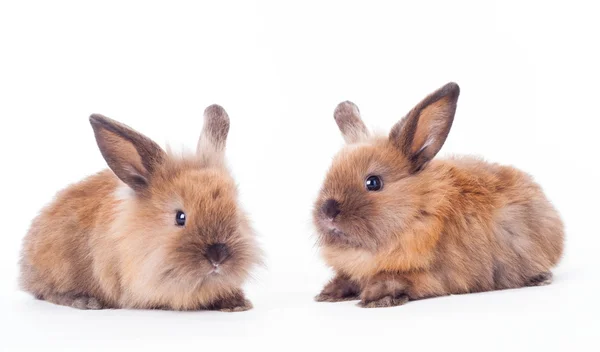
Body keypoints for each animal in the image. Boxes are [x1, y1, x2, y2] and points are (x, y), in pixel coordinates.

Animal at [312, 82, 564, 308]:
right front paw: (328, 294)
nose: (328, 211)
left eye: (373, 182)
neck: (416, 213)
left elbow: (399, 280)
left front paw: (376, 297)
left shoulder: (436, 276)